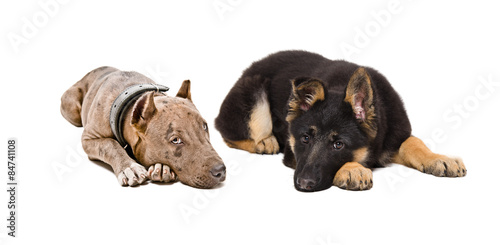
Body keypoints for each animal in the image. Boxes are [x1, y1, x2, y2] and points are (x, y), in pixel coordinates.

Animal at [61, 66, 227, 189]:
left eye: (205, 127)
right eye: (175, 140)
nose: (220, 171)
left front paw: (162, 168)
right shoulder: (89, 138)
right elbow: (110, 144)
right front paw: (129, 168)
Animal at [217, 49, 466, 191]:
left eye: (338, 144)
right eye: (305, 139)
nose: (303, 185)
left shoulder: (396, 134)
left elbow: (414, 142)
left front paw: (438, 158)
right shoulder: (292, 153)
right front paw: (353, 169)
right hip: (254, 92)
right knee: (226, 130)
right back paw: (265, 141)